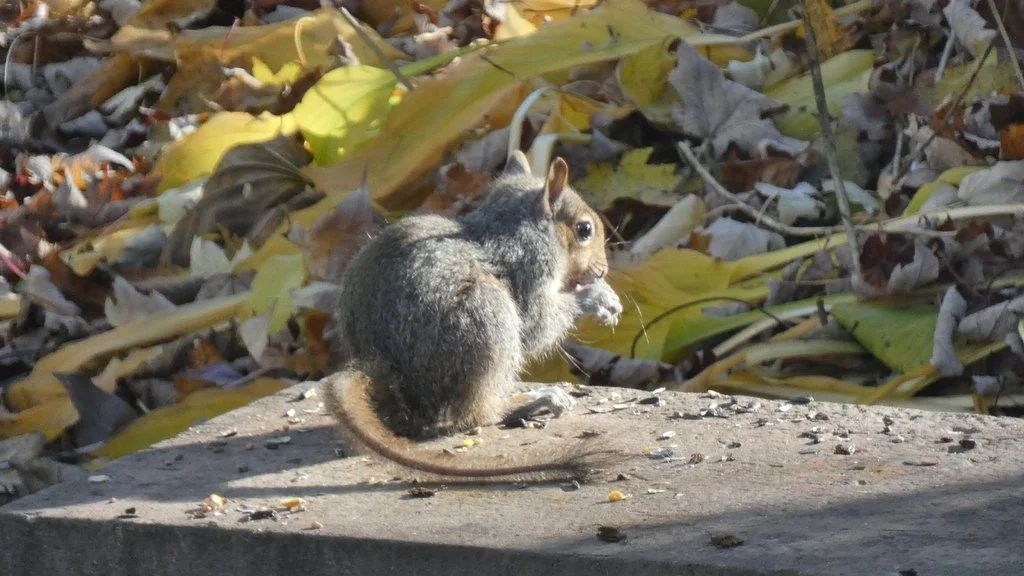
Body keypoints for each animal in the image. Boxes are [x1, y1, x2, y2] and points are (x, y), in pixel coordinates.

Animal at [321, 150, 624, 481]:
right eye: (584, 229)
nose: (603, 269)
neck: (517, 229)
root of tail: (381, 368)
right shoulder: (529, 268)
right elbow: (538, 326)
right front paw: (597, 297)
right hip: (487, 319)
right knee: (476, 415)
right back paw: (533, 401)